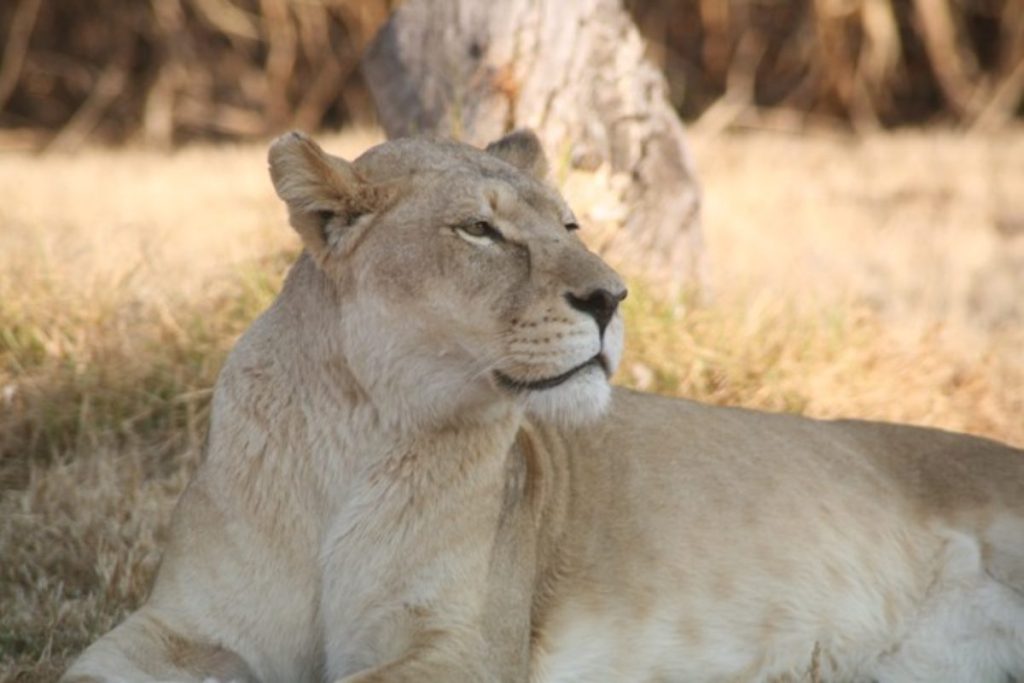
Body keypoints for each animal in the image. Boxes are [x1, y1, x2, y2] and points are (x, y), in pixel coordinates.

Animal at [63, 130, 1024, 683]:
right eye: (479, 230)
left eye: (568, 225)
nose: (612, 297)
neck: (357, 428)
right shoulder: (182, 625)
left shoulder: (463, 648)